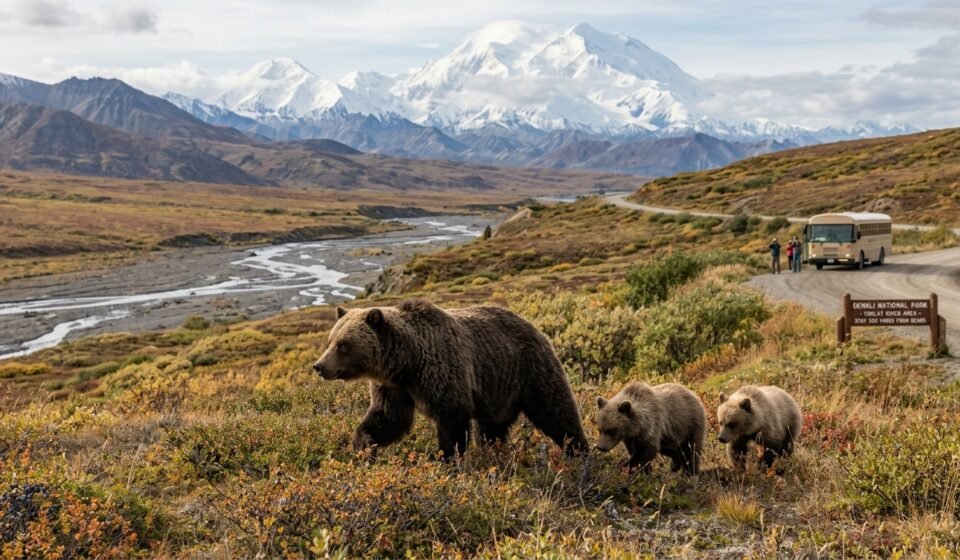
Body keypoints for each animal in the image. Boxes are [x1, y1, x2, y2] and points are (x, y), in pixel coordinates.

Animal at [313, 299, 589, 459]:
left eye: (343, 345)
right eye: (330, 340)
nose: (319, 366)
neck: (408, 362)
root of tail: (533, 325)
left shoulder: (441, 371)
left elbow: (451, 419)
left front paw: (447, 457)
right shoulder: (393, 386)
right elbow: (388, 418)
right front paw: (364, 446)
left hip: (530, 370)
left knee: (556, 412)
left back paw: (579, 452)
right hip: (497, 389)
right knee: (491, 429)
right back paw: (493, 452)